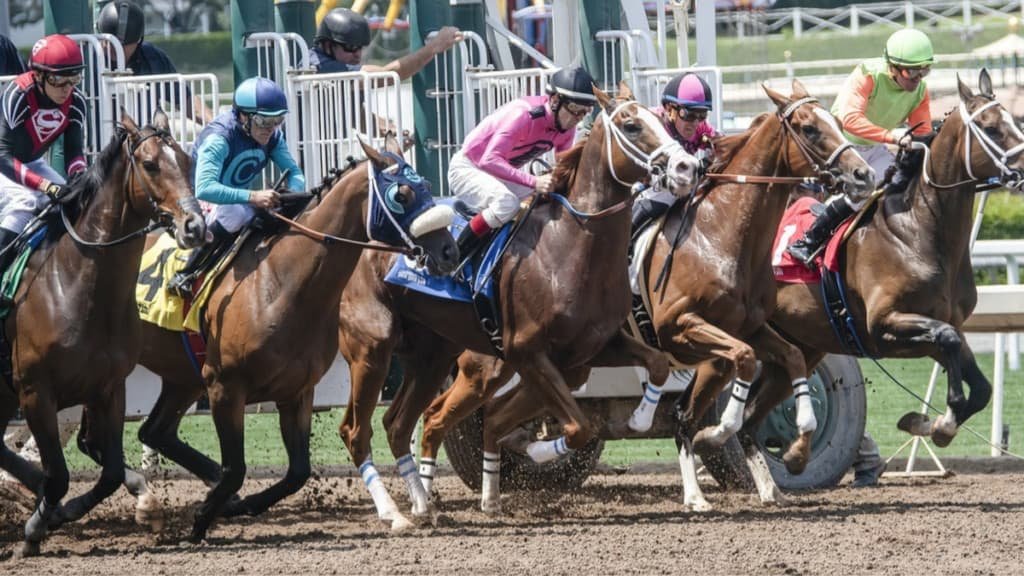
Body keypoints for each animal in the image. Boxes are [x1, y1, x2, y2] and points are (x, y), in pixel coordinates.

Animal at [0, 109, 205, 553]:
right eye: (150, 164)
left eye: (187, 161)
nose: (195, 226)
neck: (77, 284)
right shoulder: (35, 391)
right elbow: (60, 475)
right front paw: (35, 528)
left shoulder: (109, 387)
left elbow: (108, 472)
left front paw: (61, 512)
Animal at [133, 132, 456, 541]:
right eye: (402, 193)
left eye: (427, 185)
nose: (450, 250)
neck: (281, 283)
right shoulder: (225, 386)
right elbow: (236, 468)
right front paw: (202, 520)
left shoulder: (297, 390)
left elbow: (298, 472)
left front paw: (243, 504)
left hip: (183, 377)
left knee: (154, 431)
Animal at [335, 83, 704, 528]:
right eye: (632, 125)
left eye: (658, 118)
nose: (687, 167)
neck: (571, 245)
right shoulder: (527, 351)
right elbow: (578, 427)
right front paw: (539, 451)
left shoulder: (587, 352)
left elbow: (658, 363)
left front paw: (640, 418)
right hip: (372, 351)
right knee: (358, 429)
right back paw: (398, 511)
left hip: (434, 357)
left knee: (401, 422)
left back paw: (428, 502)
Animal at [430, 77, 872, 510]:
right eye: (809, 128)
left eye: (835, 121)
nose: (863, 174)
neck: (723, 234)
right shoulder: (681, 326)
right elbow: (737, 369)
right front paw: (720, 436)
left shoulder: (748, 329)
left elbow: (787, 358)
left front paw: (796, 444)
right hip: (491, 366)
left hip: (539, 367)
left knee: (492, 418)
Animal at [745, 69, 1015, 453]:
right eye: (991, 128)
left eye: (1015, 121)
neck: (918, 231)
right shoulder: (884, 325)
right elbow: (948, 341)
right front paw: (938, 422)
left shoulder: (938, 326)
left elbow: (980, 387)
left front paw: (934, 424)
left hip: (799, 347)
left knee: (748, 415)